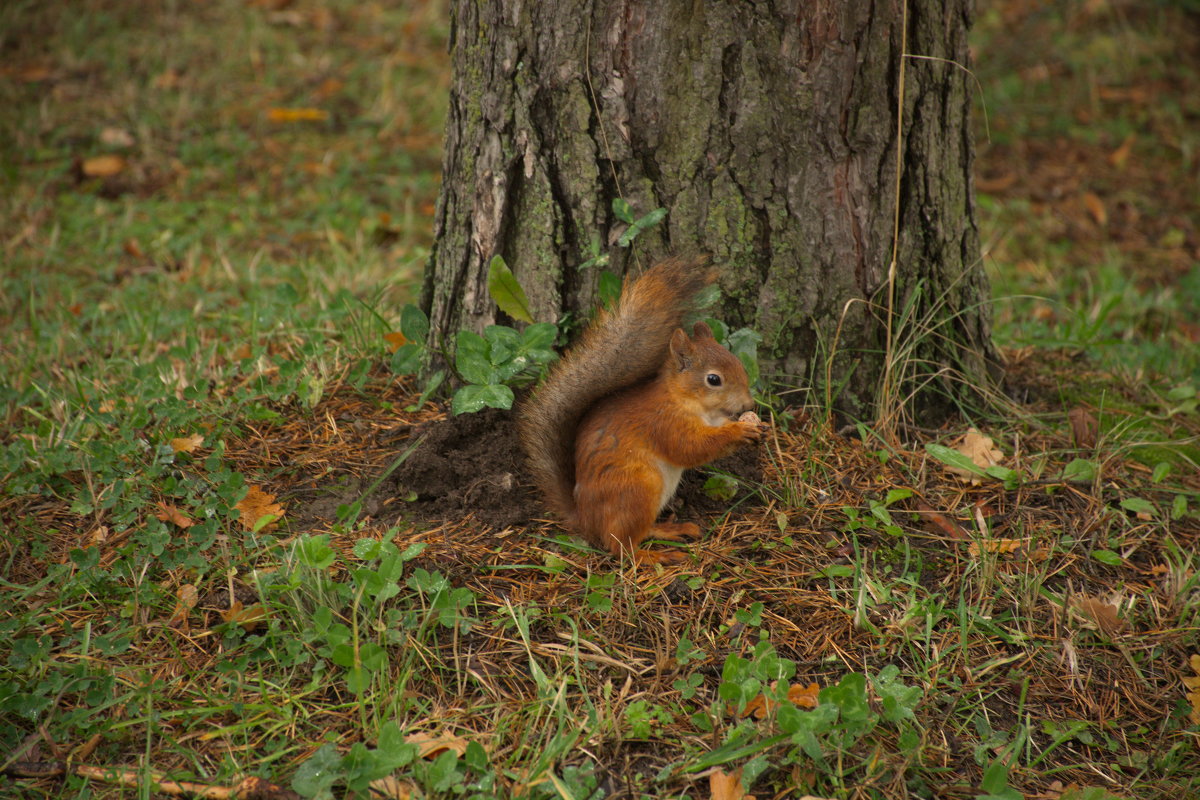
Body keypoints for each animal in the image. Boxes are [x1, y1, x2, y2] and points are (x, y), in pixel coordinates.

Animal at [513, 255, 758, 563]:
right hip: (637, 489)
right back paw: (652, 556)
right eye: (714, 380)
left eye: (738, 363)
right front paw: (739, 431)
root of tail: (585, 520)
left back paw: (669, 530)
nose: (749, 404)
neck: (684, 399)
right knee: (620, 546)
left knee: (640, 532)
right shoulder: (664, 422)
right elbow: (689, 448)